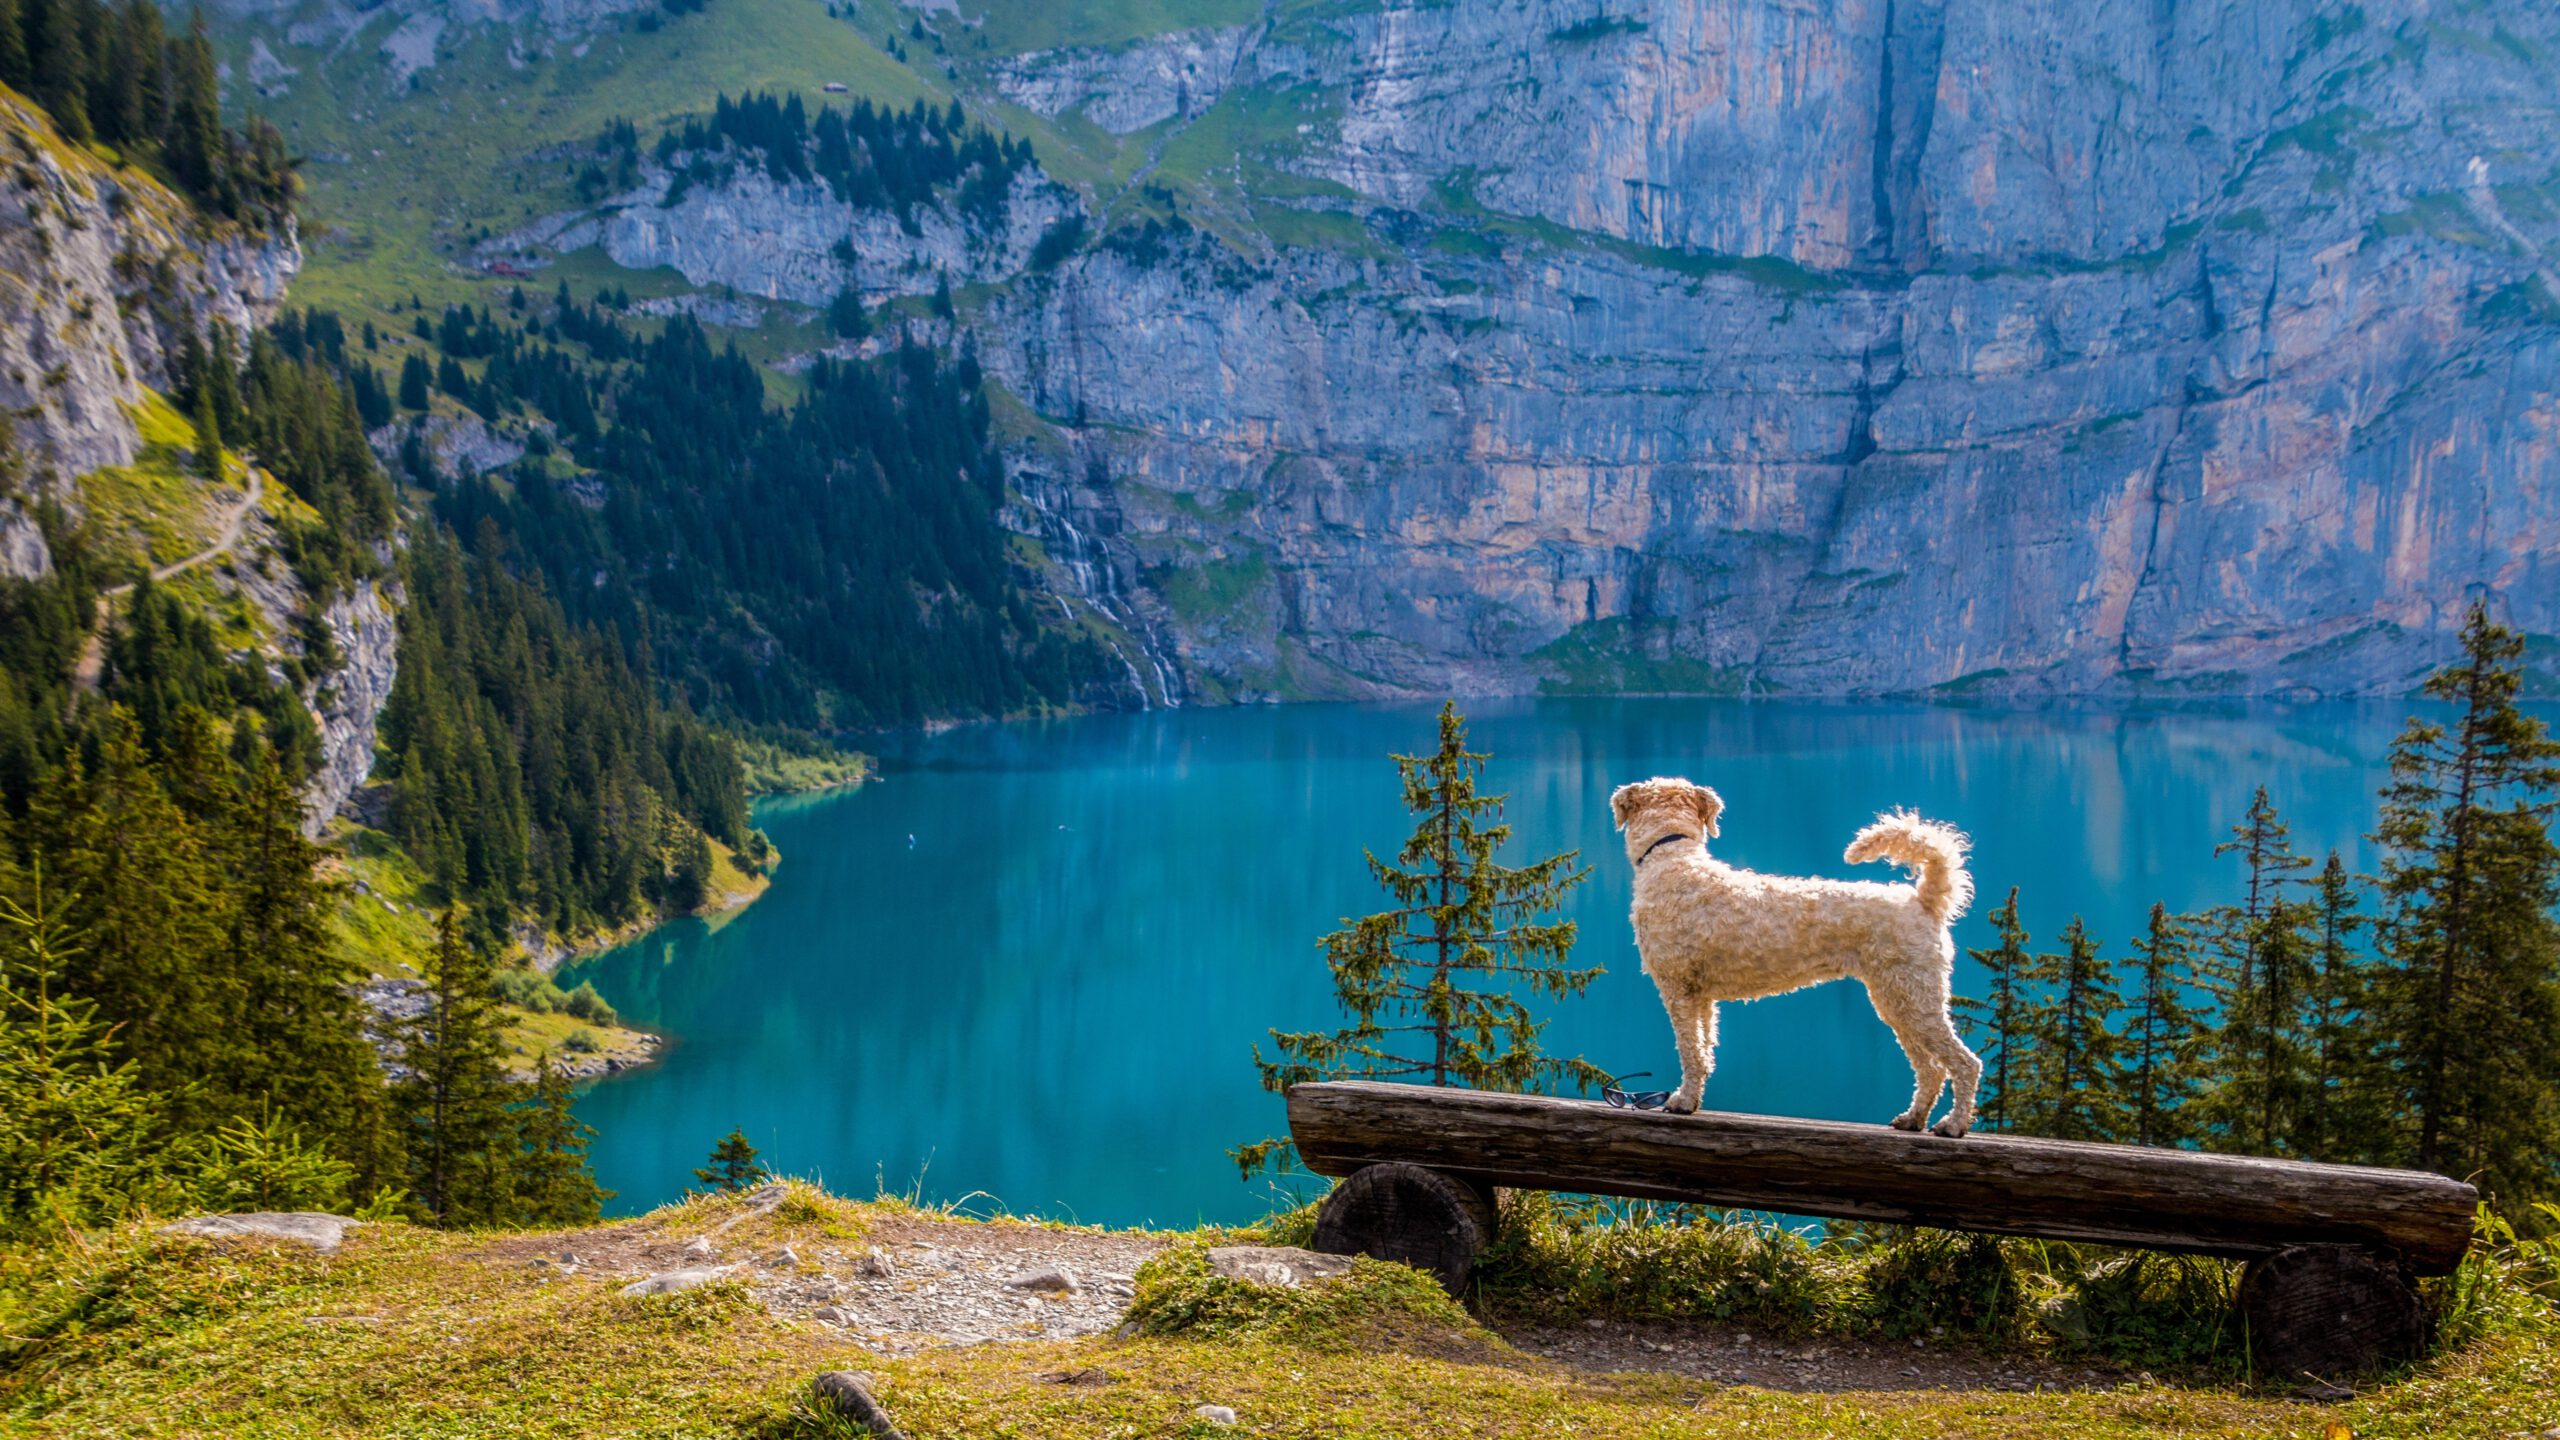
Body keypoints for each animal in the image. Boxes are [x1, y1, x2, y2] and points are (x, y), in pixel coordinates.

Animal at [1607, 773, 1986, 1132]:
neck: (1671, 858)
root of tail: (1923, 901)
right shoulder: (1700, 996)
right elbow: (1704, 1050)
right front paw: (1693, 1097)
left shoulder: (1677, 988)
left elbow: (1690, 1051)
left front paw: (1683, 1101)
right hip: (1897, 1001)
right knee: (1931, 1068)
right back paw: (1913, 1118)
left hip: (1914, 997)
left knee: (1965, 1063)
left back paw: (1953, 1125)